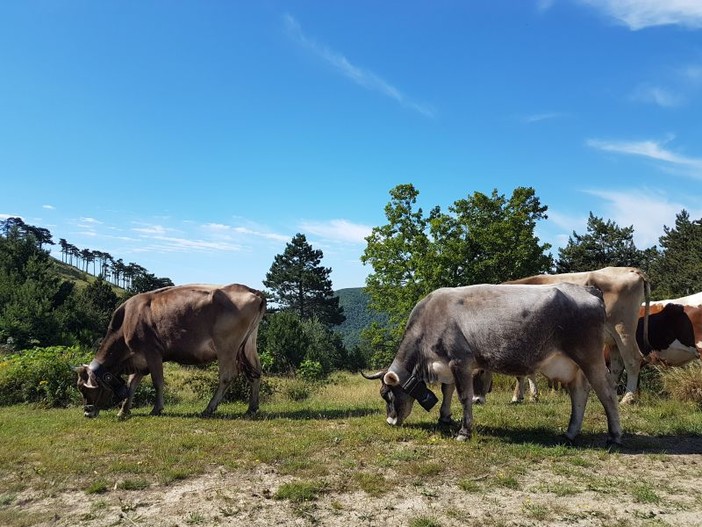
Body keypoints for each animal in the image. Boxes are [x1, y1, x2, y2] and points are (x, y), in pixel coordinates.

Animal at [74, 284, 266, 420]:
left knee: (227, 376)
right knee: (255, 373)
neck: (126, 322)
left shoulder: (152, 353)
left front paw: (156, 409)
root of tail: (251, 290)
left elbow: (157, 382)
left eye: (84, 389)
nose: (87, 413)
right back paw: (252, 408)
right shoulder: (139, 360)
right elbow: (131, 384)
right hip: (248, 345)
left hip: (226, 346)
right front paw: (123, 411)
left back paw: (209, 408)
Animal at [366, 284, 624, 446]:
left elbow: (464, 396)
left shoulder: (460, 361)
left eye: (387, 395)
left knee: (606, 391)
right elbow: (447, 390)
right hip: (571, 364)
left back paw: (614, 436)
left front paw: (464, 432)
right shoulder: (447, 365)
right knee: (579, 392)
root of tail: (587, 289)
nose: (390, 421)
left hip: (590, 357)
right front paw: (445, 417)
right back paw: (570, 433)